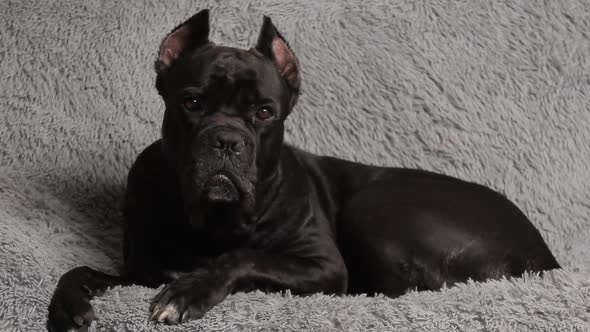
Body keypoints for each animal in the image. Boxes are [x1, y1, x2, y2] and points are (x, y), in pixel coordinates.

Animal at [46, 9, 560, 330]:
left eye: (264, 112)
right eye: (190, 103)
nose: (226, 139)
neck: (214, 222)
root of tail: (544, 257)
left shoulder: (323, 266)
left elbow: (244, 257)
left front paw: (188, 291)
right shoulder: (143, 269)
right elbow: (81, 268)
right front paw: (67, 308)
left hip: (374, 210)